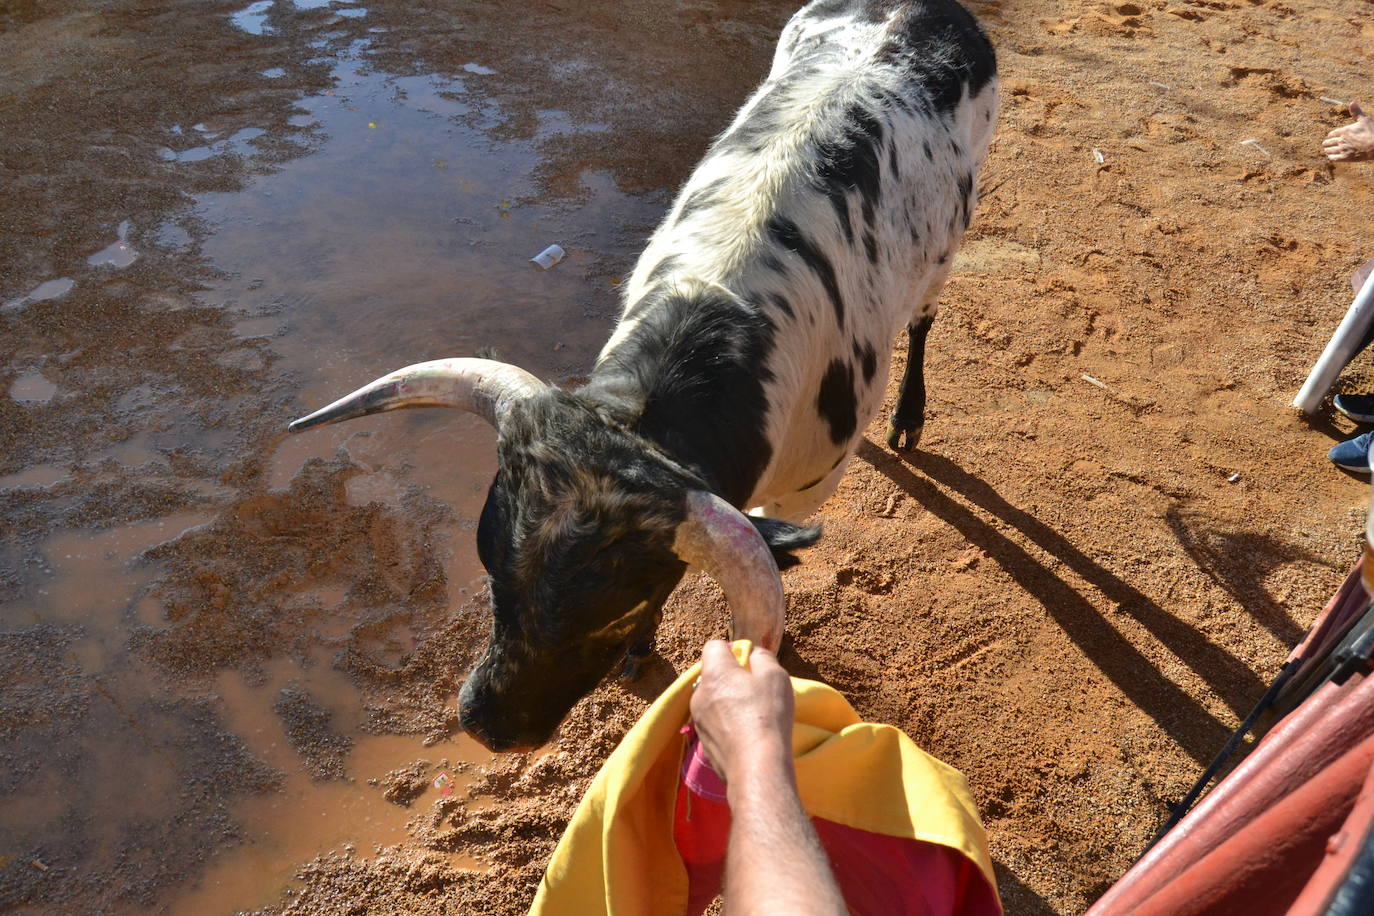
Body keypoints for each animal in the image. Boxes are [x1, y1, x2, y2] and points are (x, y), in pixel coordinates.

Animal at [292, 0, 1000, 752]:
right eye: (491, 573)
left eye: (613, 610)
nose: (483, 723)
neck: (718, 328)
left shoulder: (801, 490)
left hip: (947, 245)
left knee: (923, 321)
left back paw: (907, 417)